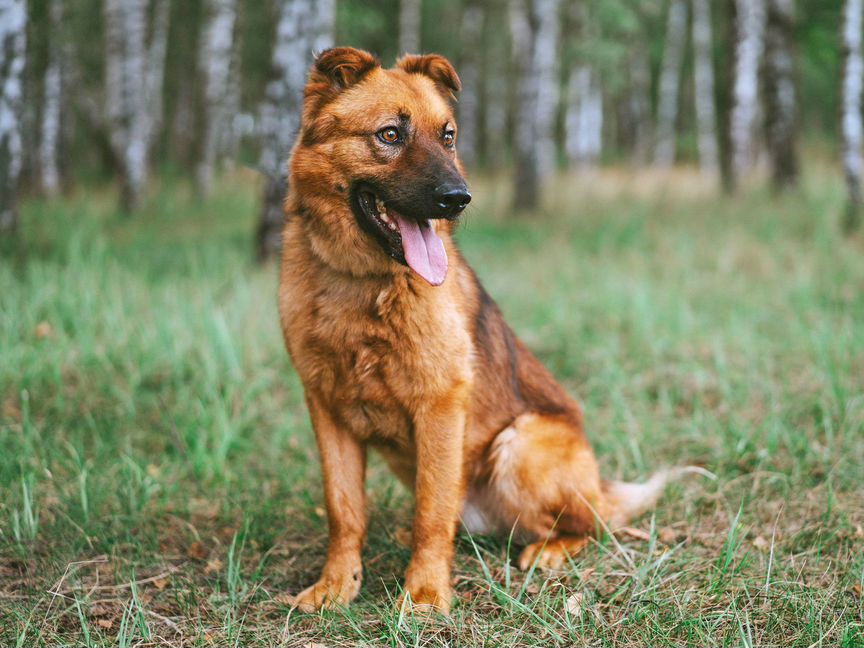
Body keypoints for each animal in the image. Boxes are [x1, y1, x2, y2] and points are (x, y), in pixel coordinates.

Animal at [276, 48, 688, 616]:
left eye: (447, 135)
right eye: (390, 134)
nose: (458, 198)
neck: (359, 284)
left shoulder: (440, 406)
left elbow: (432, 512)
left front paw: (425, 594)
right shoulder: (327, 409)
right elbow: (344, 509)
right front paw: (338, 585)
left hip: (519, 444)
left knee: (587, 525)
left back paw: (548, 550)